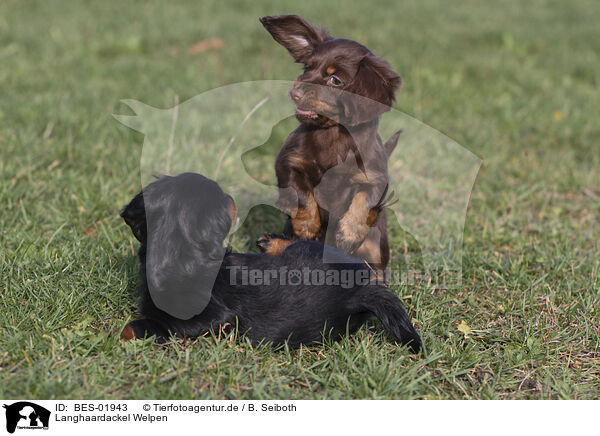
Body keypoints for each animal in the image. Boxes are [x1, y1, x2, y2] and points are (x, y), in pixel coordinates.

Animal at [118, 172, 422, 352]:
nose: (231, 195)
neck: (175, 250)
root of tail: (363, 291)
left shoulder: (211, 319)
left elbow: (135, 327)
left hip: (309, 249)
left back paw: (272, 242)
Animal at [260, 15, 400, 270]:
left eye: (335, 79)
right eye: (308, 67)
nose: (294, 93)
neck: (333, 135)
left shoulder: (376, 178)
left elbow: (365, 200)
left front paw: (349, 233)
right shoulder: (288, 163)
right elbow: (302, 196)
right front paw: (307, 225)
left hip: (374, 246)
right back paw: (273, 244)